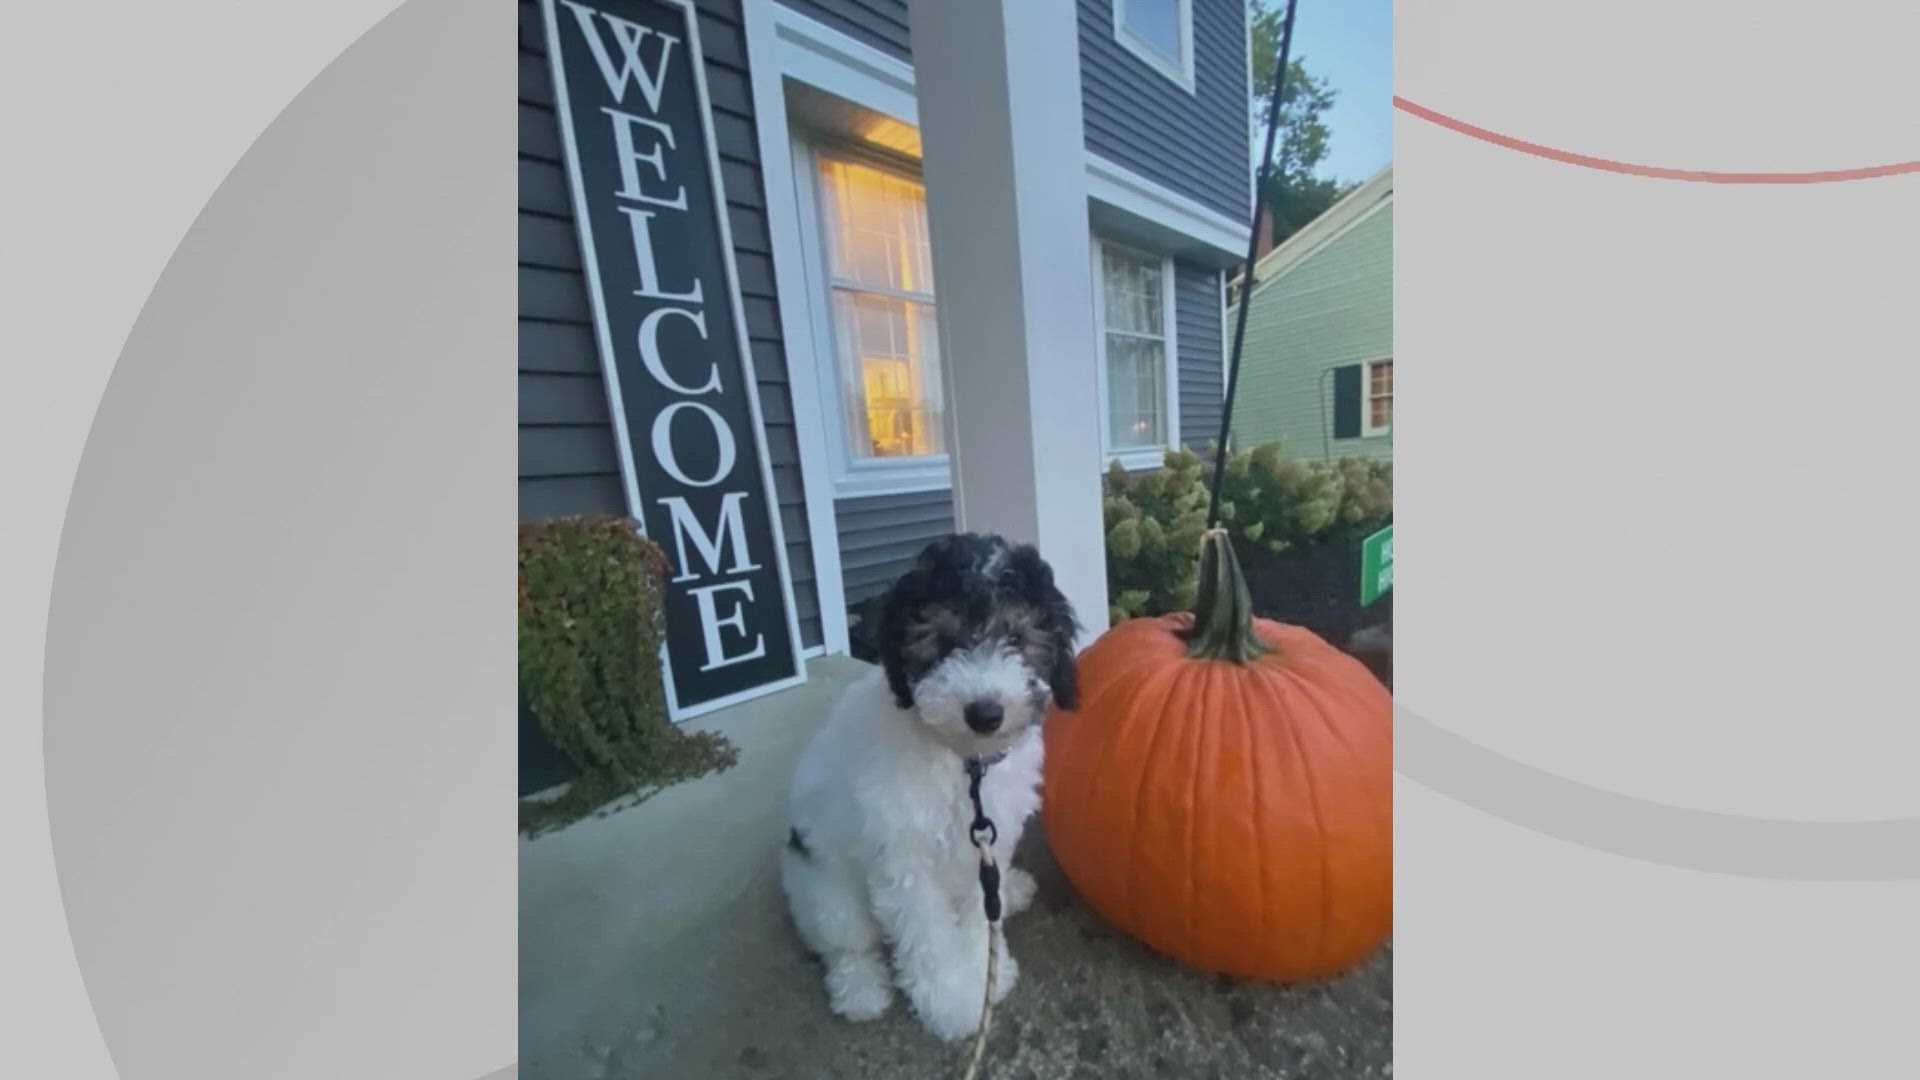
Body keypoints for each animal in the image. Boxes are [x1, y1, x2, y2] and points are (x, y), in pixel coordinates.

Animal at [779, 534, 1082, 1037]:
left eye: (1016, 639)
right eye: (941, 640)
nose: (985, 713)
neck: (965, 764)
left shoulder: (989, 843)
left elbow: (981, 912)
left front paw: (986, 971)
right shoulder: (904, 857)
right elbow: (926, 933)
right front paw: (953, 1002)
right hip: (825, 892)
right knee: (847, 945)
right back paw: (860, 990)